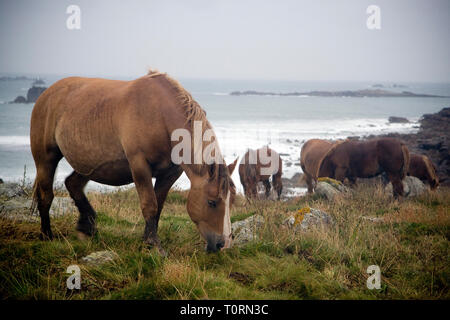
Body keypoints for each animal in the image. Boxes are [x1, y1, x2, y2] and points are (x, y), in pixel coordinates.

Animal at [28, 71, 239, 254]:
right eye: (212, 202)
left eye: (231, 201)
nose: (224, 244)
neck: (159, 115)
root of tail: (47, 93)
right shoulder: (139, 166)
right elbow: (150, 205)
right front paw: (155, 246)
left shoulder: (170, 173)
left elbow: (158, 206)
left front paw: (147, 242)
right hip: (46, 159)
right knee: (46, 195)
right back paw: (47, 235)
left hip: (89, 165)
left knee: (72, 184)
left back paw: (86, 227)